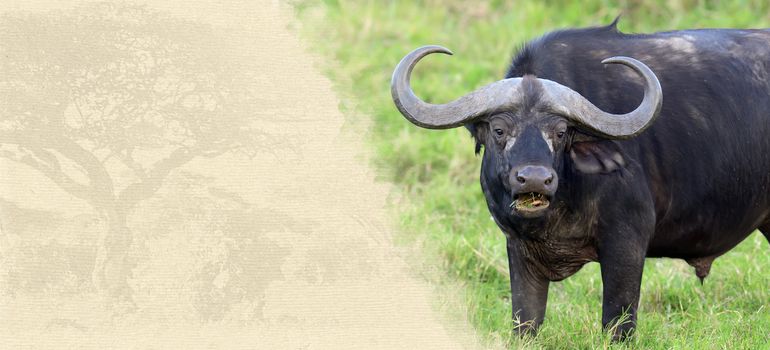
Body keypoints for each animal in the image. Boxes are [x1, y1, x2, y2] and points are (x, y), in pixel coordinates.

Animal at [390, 20, 768, 340]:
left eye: (560, 132)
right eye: (499, 129)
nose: (535, 180)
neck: (559, 210)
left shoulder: (627, 242)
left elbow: (618, 322)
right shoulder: (517, 248)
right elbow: (525, 320)